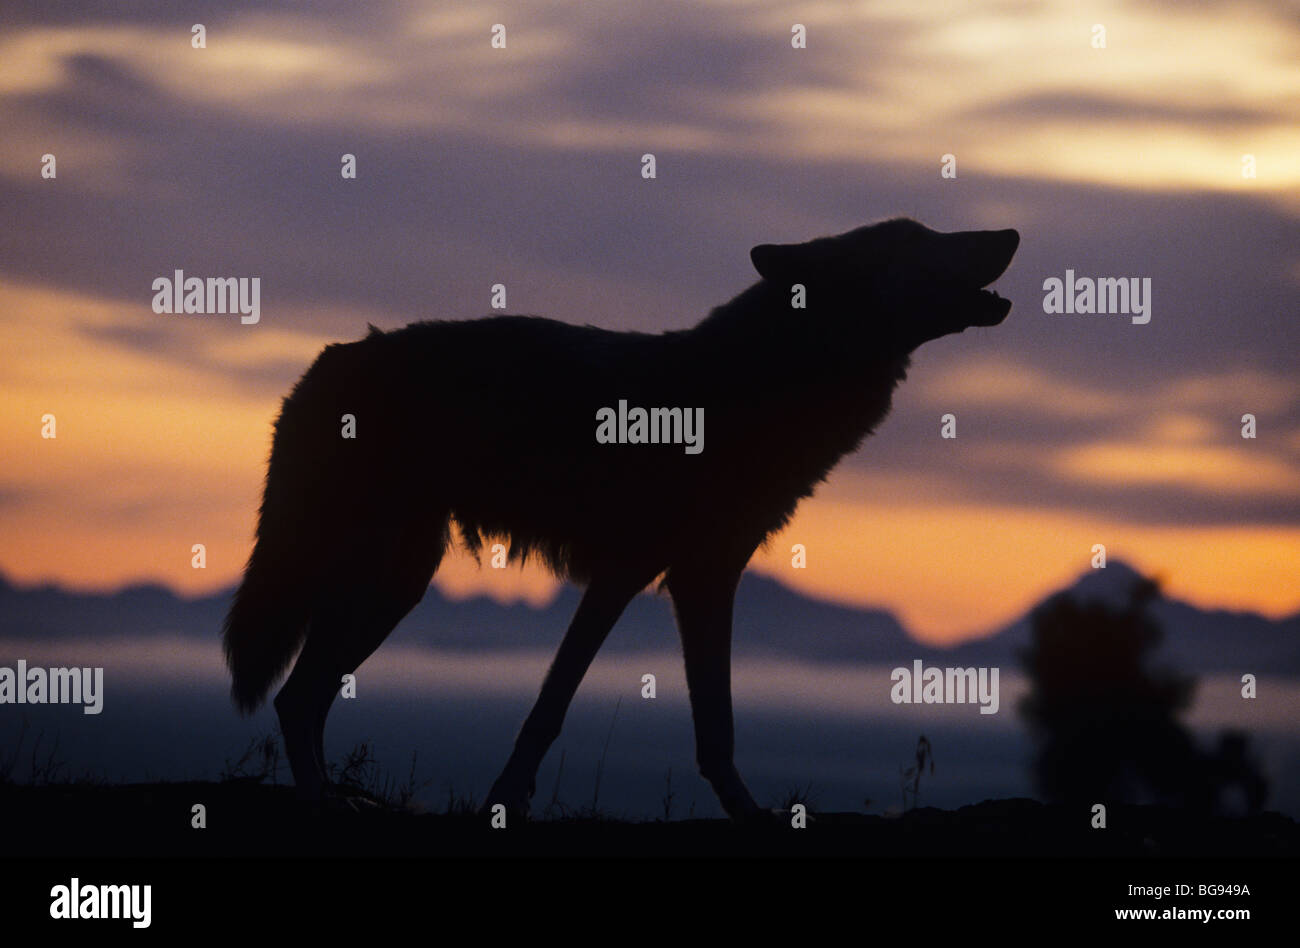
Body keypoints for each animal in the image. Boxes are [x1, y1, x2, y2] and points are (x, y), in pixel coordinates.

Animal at [220, 218, 1013, 816]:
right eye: (917, 235)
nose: (1009, 230)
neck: (752, 394)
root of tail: (329, 359)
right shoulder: (628, 574)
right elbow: (550, 708)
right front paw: (505, 802)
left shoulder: (703, 579)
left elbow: (715, 729)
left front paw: (746, 813)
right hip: (381, 582)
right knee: (298, 695)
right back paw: (324, 803)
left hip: (392, 583)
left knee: (308, 696)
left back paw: (336, 798)